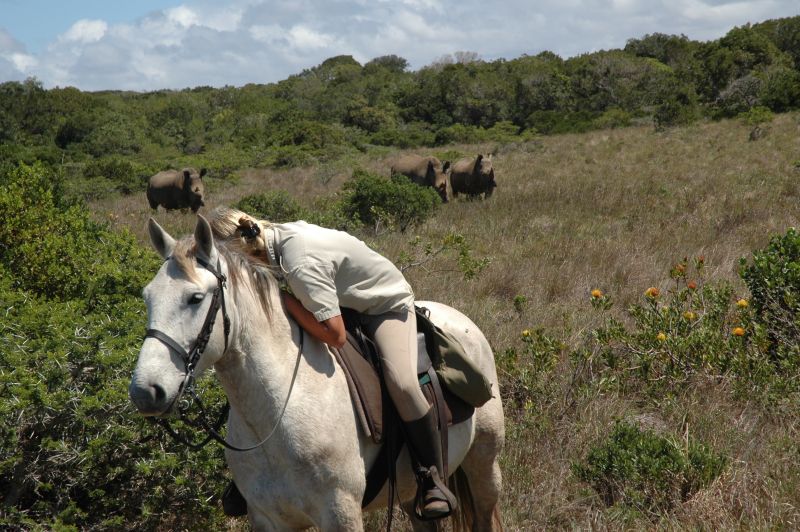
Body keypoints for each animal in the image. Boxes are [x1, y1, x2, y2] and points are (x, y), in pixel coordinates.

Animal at [130, 214, 506, 528]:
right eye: (146, 297)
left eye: (195, 298)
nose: (145, 392)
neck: (280, 410)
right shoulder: (268, 519)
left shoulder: (340, 513)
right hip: (411, 493)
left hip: (484, 467)